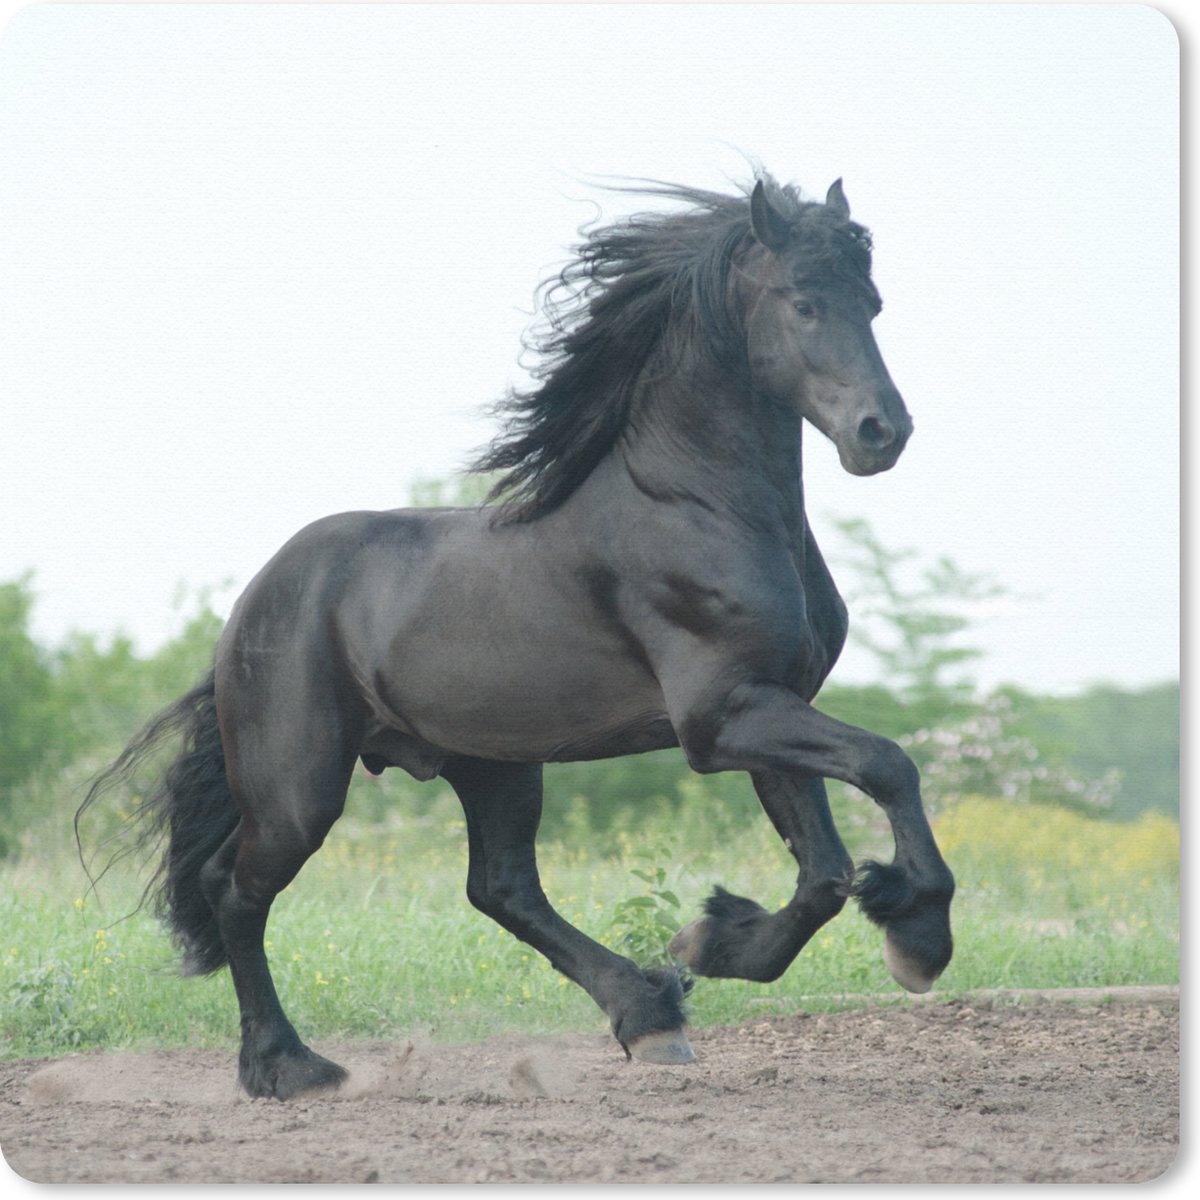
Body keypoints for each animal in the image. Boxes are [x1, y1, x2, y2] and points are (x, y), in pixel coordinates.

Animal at [77, 171, 954, 1100]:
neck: (698, 509)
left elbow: (823, 871)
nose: (881, 433)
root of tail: (251, 603)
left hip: (492, 764)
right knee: (238, 890)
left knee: (500, 889)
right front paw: (919, 942)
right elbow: (888, 765)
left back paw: (648, 1013)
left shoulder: (767, 706)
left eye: (872, 302)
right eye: (802, 302)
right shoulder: (721, 719)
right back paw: (288, 1066)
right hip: (300, 787)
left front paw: (712, 942)